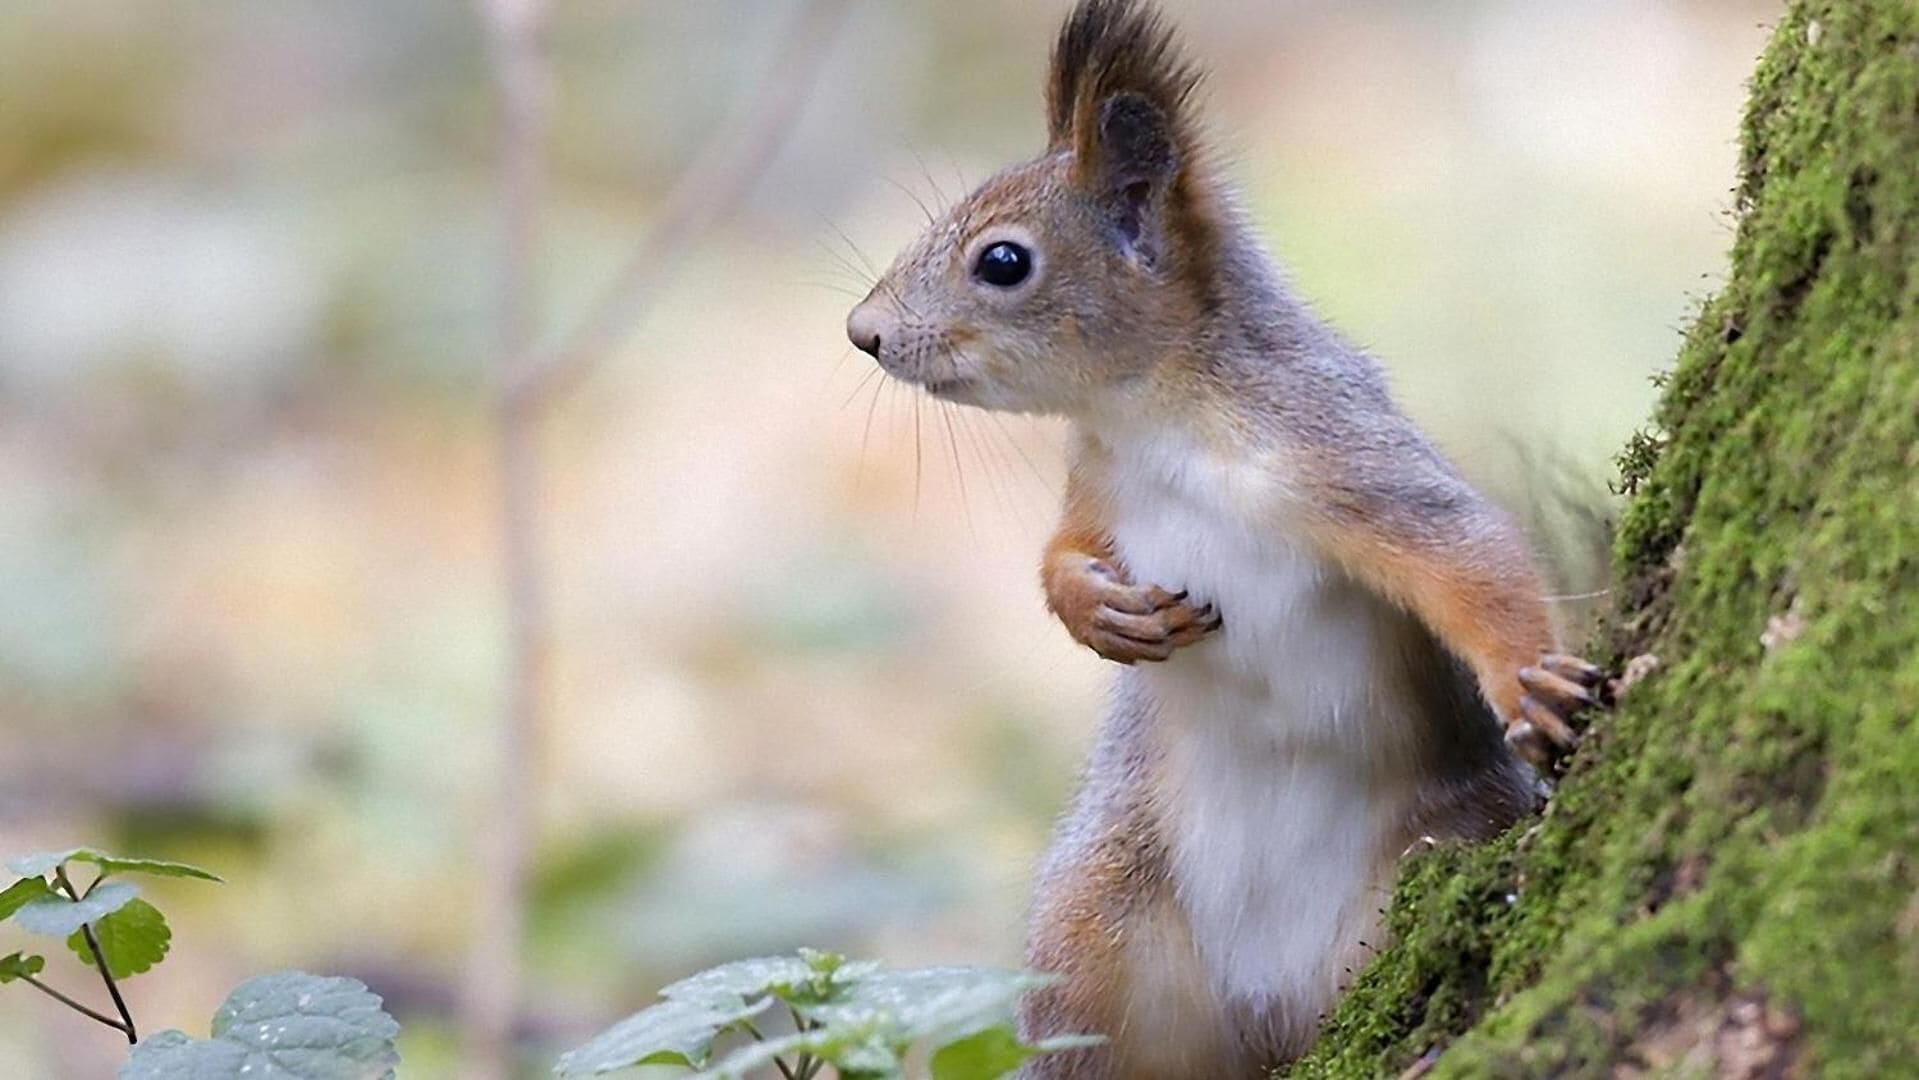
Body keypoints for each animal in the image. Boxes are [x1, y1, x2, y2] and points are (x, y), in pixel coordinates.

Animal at [846, 1, 1604, 1075]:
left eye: (1002, 261)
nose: (862, 332)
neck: (1158, 421)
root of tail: (1267, 1012)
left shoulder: (1340, 452)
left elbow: (1466, 553)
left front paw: (1529, 682)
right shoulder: (1097, 485)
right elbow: (1059, 554)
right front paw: (1100, 612)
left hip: (1437, 850)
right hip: (1094, 924)